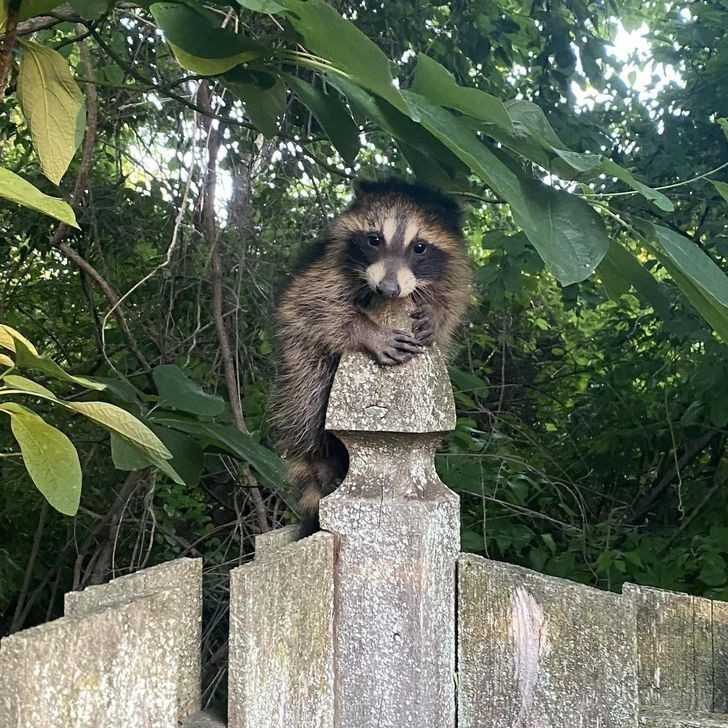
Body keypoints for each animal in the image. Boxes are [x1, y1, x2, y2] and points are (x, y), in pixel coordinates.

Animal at [272, 176, 472, 528]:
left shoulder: (453, 271)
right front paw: (366, 330)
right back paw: (319, 458)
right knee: (307, 398)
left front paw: (437, 313)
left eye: (419, 247)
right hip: (299, 357)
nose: (388, 290)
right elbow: (308, 305)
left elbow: (451, 300)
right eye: (374, 239)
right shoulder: (326, 268)